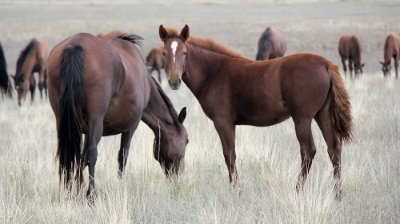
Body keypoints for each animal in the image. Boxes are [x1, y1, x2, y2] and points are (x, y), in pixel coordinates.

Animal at [47, 30, 189, 202]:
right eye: (187, 140)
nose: (179, 175)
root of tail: (75, 46)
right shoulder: (131, 125)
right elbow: (122, 155)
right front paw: (119, 185)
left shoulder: (85, 130)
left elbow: (81, 157)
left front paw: (77, 188)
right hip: (96, 119)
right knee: (93, 153)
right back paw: (91, 195)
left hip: (62, 119)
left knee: (66, 155)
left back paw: (68, 191)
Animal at [159, 24, 354, 200]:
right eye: (164, 53)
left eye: (184, 53)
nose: (174, 81)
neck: (214, 72)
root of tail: (325, 63)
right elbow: (231, 155)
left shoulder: (222, 122)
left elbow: (229, 155)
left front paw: (235, 191)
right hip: (323, 115)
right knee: (334, 149)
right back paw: (337, 196)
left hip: (302, 118)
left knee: (308, 151)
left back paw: (297, 192)